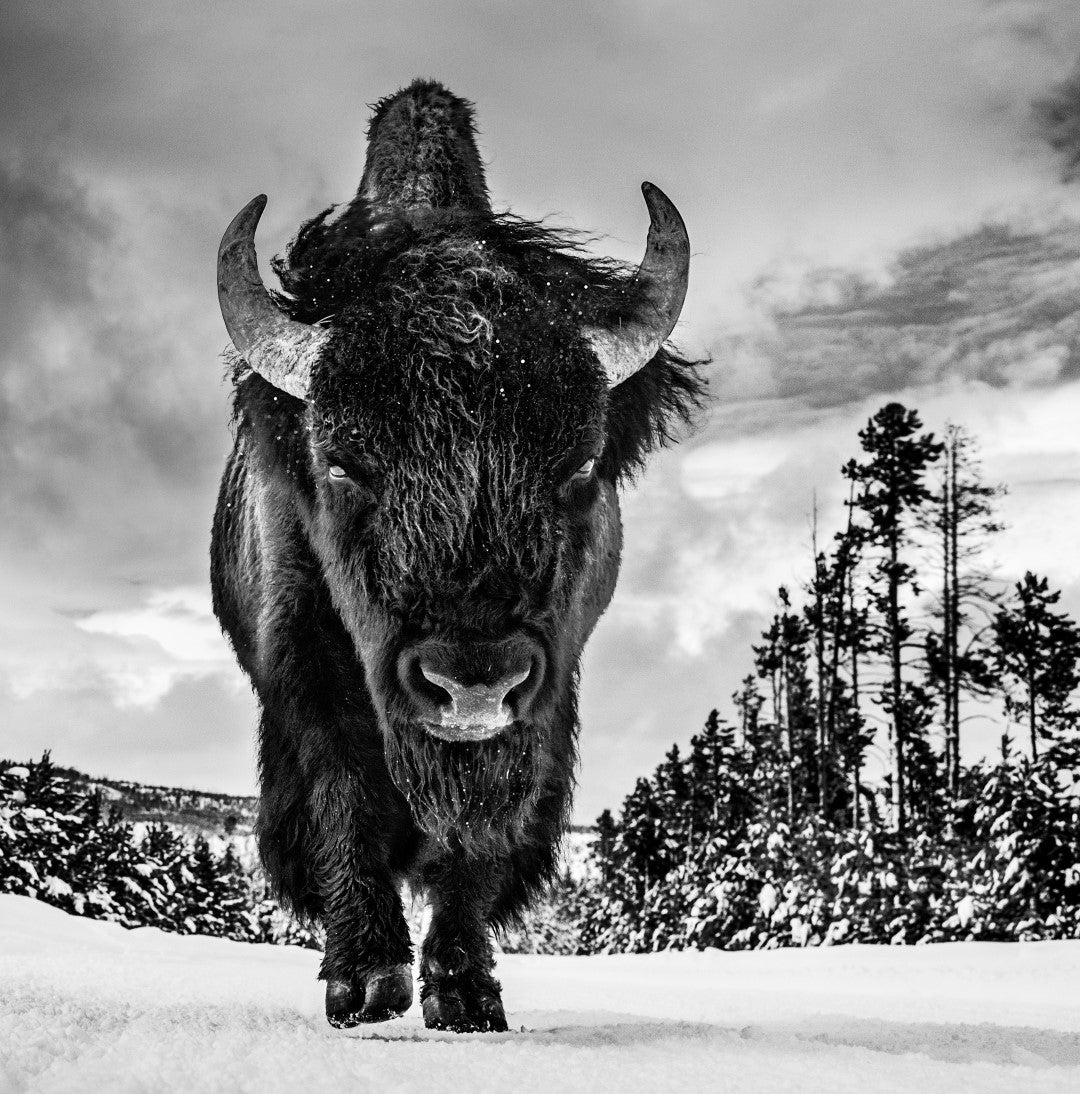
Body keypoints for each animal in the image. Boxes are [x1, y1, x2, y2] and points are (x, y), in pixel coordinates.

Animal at [213, 80, 700, 1028]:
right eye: (341, 462)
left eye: (579, 464)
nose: (471, 682)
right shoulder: (309, 666)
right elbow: (344, 793)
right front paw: (365, 981)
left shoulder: (547, 697)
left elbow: (474, 839)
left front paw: (465, 992)